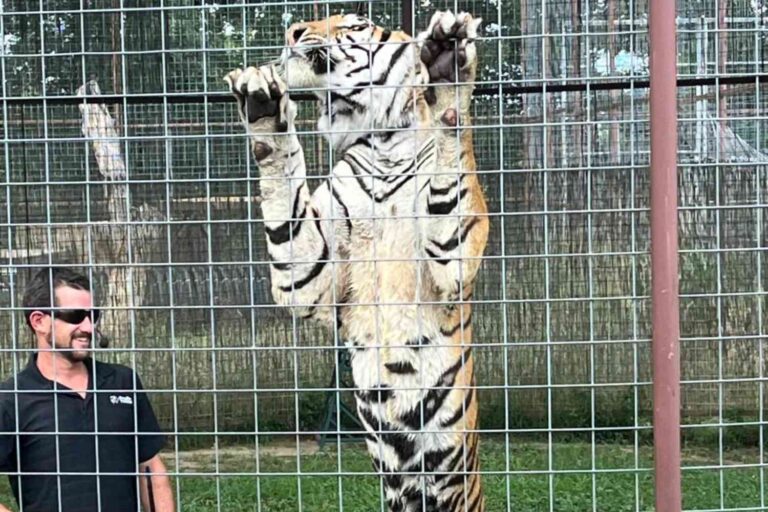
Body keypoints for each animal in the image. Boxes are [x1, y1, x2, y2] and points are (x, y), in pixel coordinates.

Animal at [225, 10, 489, 512]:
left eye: (355, 24)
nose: (291, 32)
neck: (383, 141)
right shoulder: (313, 279)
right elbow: (286, 209)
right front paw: (263, 105)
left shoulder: (454, 259)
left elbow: (450, 168)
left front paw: (448, 66)